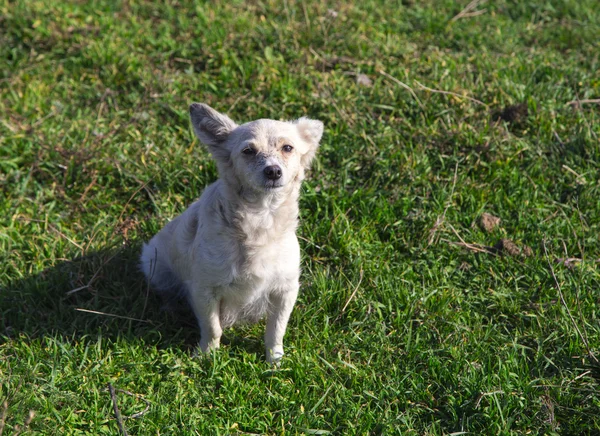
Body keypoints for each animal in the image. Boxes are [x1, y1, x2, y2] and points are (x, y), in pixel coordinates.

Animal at [139, 102, 324, 362]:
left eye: (288, 148)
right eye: (248, 151)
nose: (273, 171)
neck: (261, 217)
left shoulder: (285, 290)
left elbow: (276, 329)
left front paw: (274, 359)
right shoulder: (204, 290)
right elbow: (212, 327)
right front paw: (207, 356)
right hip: (154, 265)